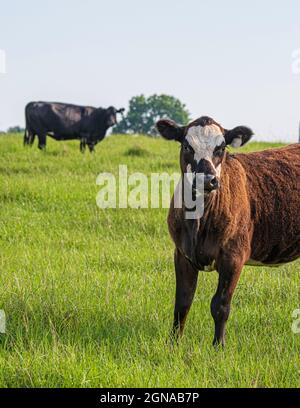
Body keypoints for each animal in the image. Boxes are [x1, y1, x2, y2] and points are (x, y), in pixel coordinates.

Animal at [157, 115, 300, 348]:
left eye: (221, 147)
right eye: (187, 146)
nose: (207, 180)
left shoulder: (234, 256)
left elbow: (220, 305)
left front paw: (219, 346)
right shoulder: (182, 254)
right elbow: (182, 302)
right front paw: (173, 343)